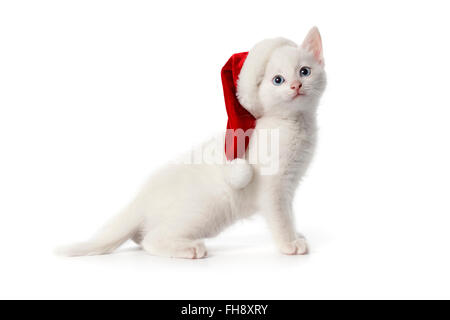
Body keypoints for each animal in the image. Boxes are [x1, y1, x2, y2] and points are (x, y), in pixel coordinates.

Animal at [59, 26, 326, 258]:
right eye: (277, 80)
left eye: (304, 71)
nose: (296, 86)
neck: (295, 124)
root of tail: (142, 197)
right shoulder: (273, 188)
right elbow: (281, 217)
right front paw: (289, 243)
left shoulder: (289, 185)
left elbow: (289, 214)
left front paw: (296, 234)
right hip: (205, 212)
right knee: (152, 240)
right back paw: (189, 249)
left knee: (142, 236)